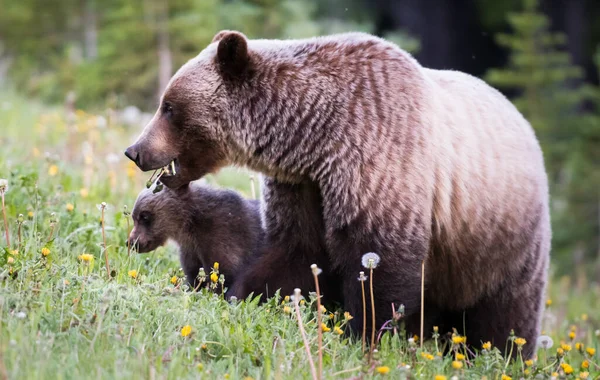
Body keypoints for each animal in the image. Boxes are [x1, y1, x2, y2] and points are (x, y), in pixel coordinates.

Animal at [125, 30, 548, 356]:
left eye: (169, 107)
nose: (135, 150)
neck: (316, 135)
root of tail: (527, 128)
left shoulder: (378, 156)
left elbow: (378, 263)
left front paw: (363, 334)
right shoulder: (304, 184)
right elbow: (295, 254)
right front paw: (242, 297)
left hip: (499, 243)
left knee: (504, 316)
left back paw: (502, 354)